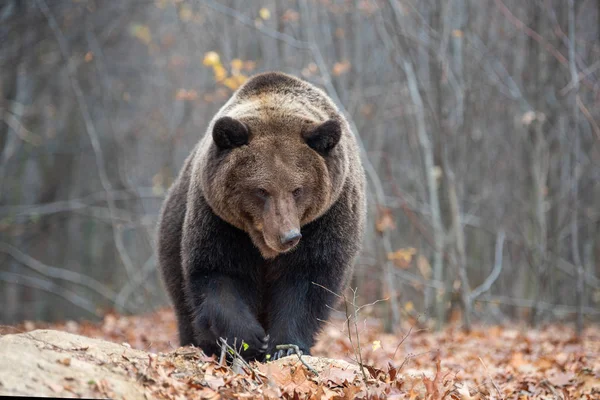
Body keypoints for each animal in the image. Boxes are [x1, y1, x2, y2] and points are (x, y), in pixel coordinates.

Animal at [157, 72, 366, 362]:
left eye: (298, 189)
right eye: (261, 190)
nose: (288, 236)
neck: (262, 246)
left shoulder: (327, 219)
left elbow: (307, 281)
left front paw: (285, 346)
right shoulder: (219, 221)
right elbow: (218, 273)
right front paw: (250, 340)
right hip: (172, 240)